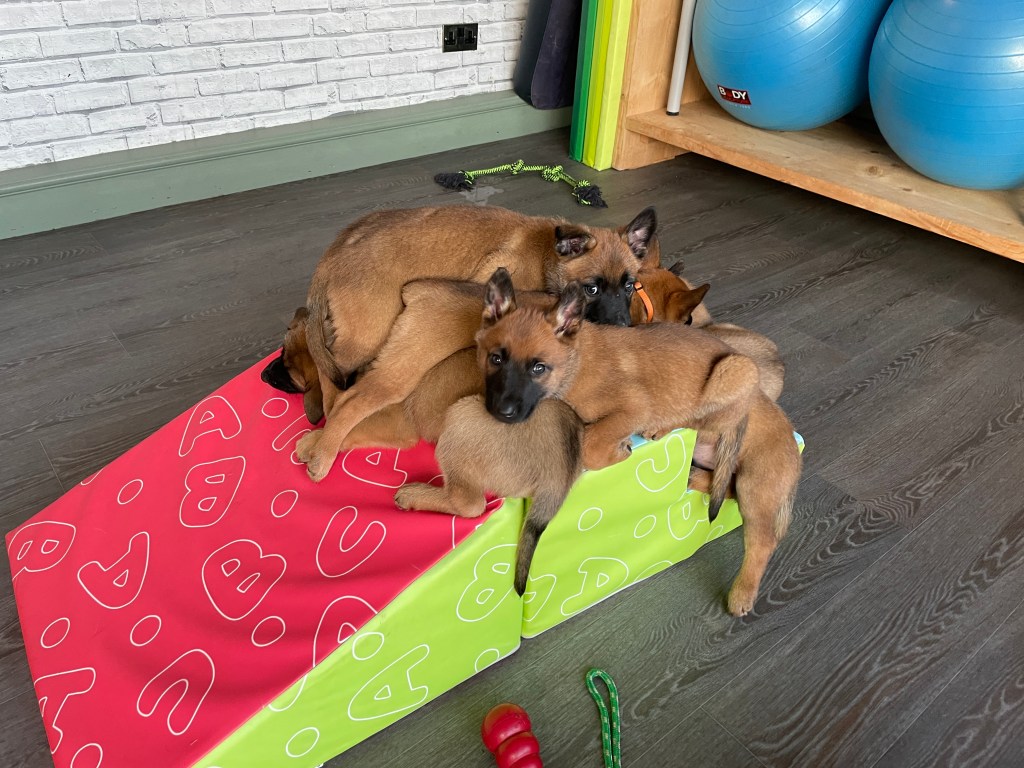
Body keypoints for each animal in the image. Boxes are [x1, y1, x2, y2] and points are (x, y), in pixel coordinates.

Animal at [473, 269, 802, 616]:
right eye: (495, 359)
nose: (502, 412)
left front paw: (618, 452)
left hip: (740, 402)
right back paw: (692, 476)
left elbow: (592, 444)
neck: (576, 363)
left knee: (761, 538)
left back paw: (742, 594)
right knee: (724, 487)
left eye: (538, 368)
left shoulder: (634, 407)